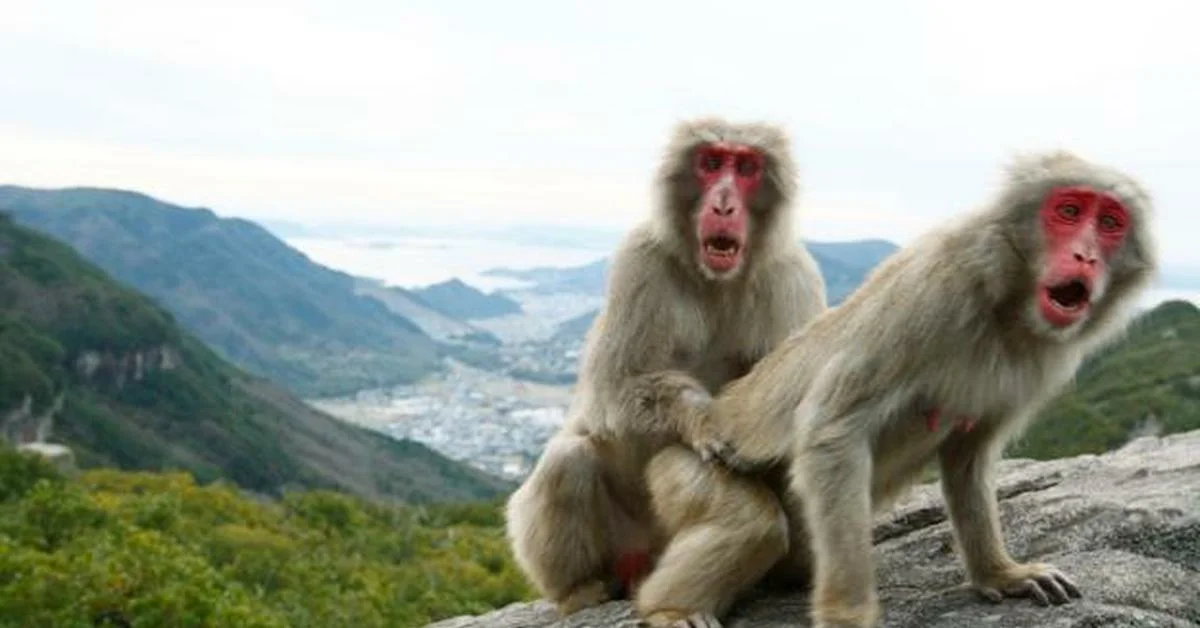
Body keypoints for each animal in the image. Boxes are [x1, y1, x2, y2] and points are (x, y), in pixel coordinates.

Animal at [501, 116, 830, 624]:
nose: (723, 203)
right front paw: (704, 418)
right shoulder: (640, 260)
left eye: (746, 167)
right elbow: (617, 389)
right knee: (569, 459)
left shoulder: (795, 277)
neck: (717, 280)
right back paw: (590, 593)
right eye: (711, 162)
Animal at [691, 150, 1156, 624]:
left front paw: (1001, 573)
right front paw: (847, 613)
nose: (1086, 256)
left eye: (1110, 222)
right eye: (1069, 211)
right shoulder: (929, 296)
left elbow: (968, 453)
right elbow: (833, 433)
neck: (1004, 305)